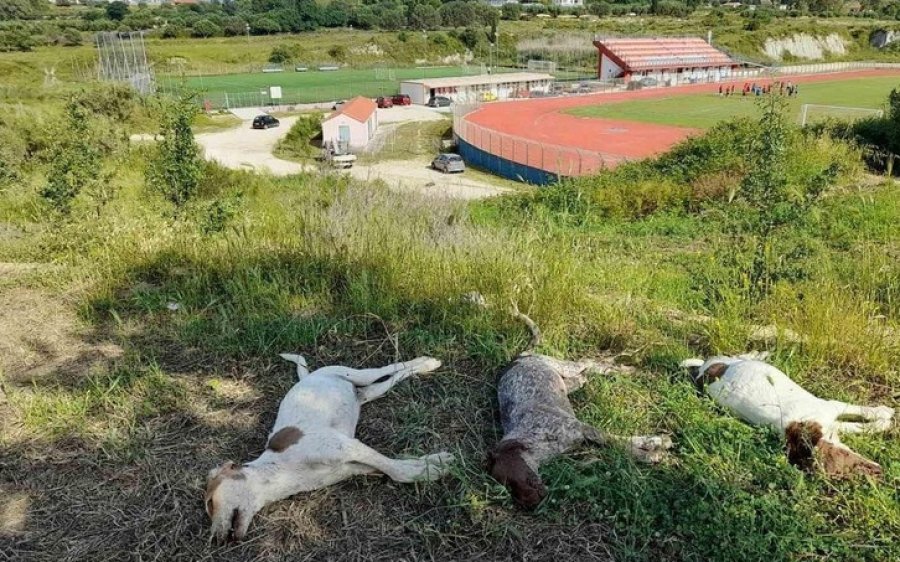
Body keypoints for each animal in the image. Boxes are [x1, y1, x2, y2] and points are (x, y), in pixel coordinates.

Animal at [207, 352, 454, 540]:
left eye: (210, 504)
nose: (215, 541)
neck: (280, 470)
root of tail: (308, 377)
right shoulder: (352, 466)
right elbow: (393, 467)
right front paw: (429, 464)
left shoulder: (348, 446)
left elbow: (397, 471)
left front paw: (432, 469)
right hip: (368, 393)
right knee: (390, 380)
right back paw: (425, 366)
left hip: (357, 374)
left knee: (391, 367)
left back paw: (427, 362)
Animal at [488, 308, 672, 510]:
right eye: (509, 488)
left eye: (513, 480)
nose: (530, 505)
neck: (536, 439)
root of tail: (518, 357)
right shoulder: (582, 438)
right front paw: (651, 450)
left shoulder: (583, 428)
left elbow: (620, 443)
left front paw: (654, 447)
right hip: (569, 382)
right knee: (586, 374)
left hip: (566, 367)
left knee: (588, 362)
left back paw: (625, 369)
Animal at [684, 352, 892, 474]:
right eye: (842, 470)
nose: (879, 472)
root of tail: (702, 372)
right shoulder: (831, 412)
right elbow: (861, 422)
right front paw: (886, 418)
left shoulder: (832, 414)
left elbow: (860, 417)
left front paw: (885, 413)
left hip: (730, 361)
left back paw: (760, 354)